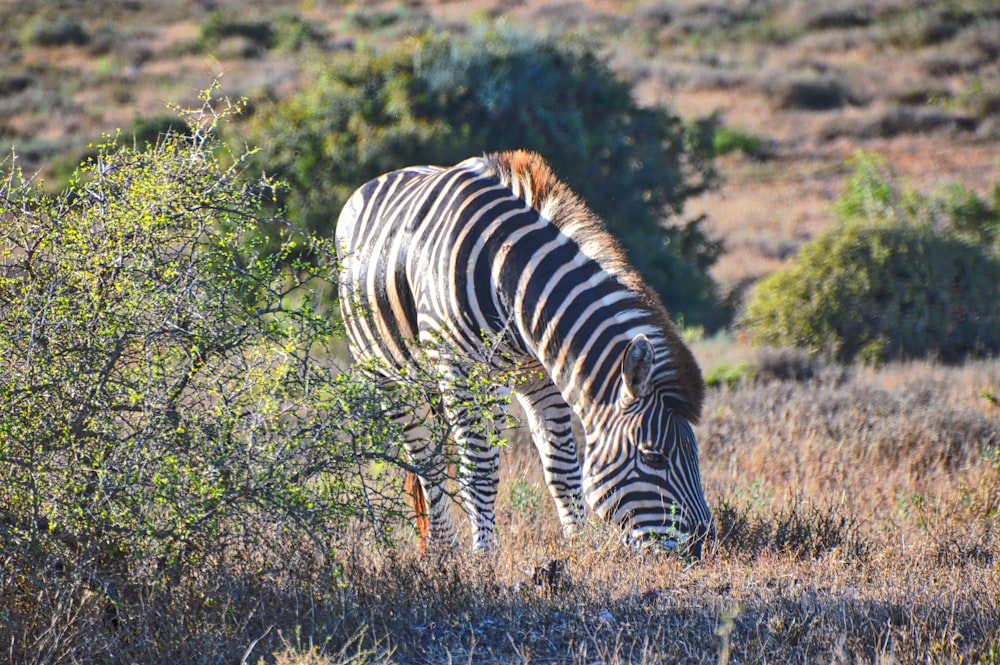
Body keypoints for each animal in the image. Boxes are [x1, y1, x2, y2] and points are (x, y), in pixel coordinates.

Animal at [340, 150, 716, 556]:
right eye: (652, 457)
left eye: (695, 453)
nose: (706, 546)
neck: (508, 277)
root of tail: (378, 179)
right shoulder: (460, 373)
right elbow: (480, 470)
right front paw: (485, 556)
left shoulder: (539, 374)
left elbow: (562, 467)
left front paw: (578, 546)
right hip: (386, 374)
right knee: (427, 462)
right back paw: (444, 551)